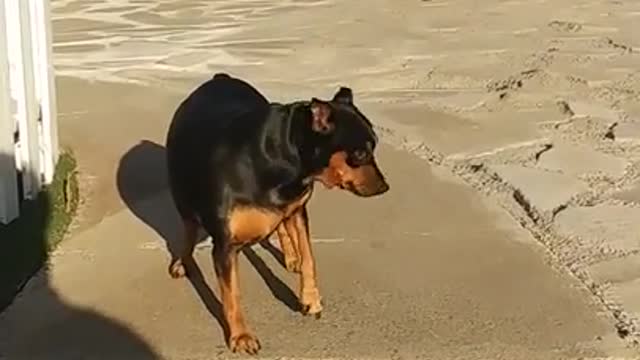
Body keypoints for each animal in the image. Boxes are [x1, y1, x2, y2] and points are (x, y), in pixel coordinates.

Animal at [165, 73, 388, 354]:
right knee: (188, 226)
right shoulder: (225, 245)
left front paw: (310, 299)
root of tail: (220, 77)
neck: (284, 157)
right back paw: (182, 261)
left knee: (283, 226)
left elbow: (309, 257)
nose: (384, 187)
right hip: (182, 194)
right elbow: (232, 293)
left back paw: (291, 256)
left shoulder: (299, 209)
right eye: (359, 153)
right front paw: (241, 336)